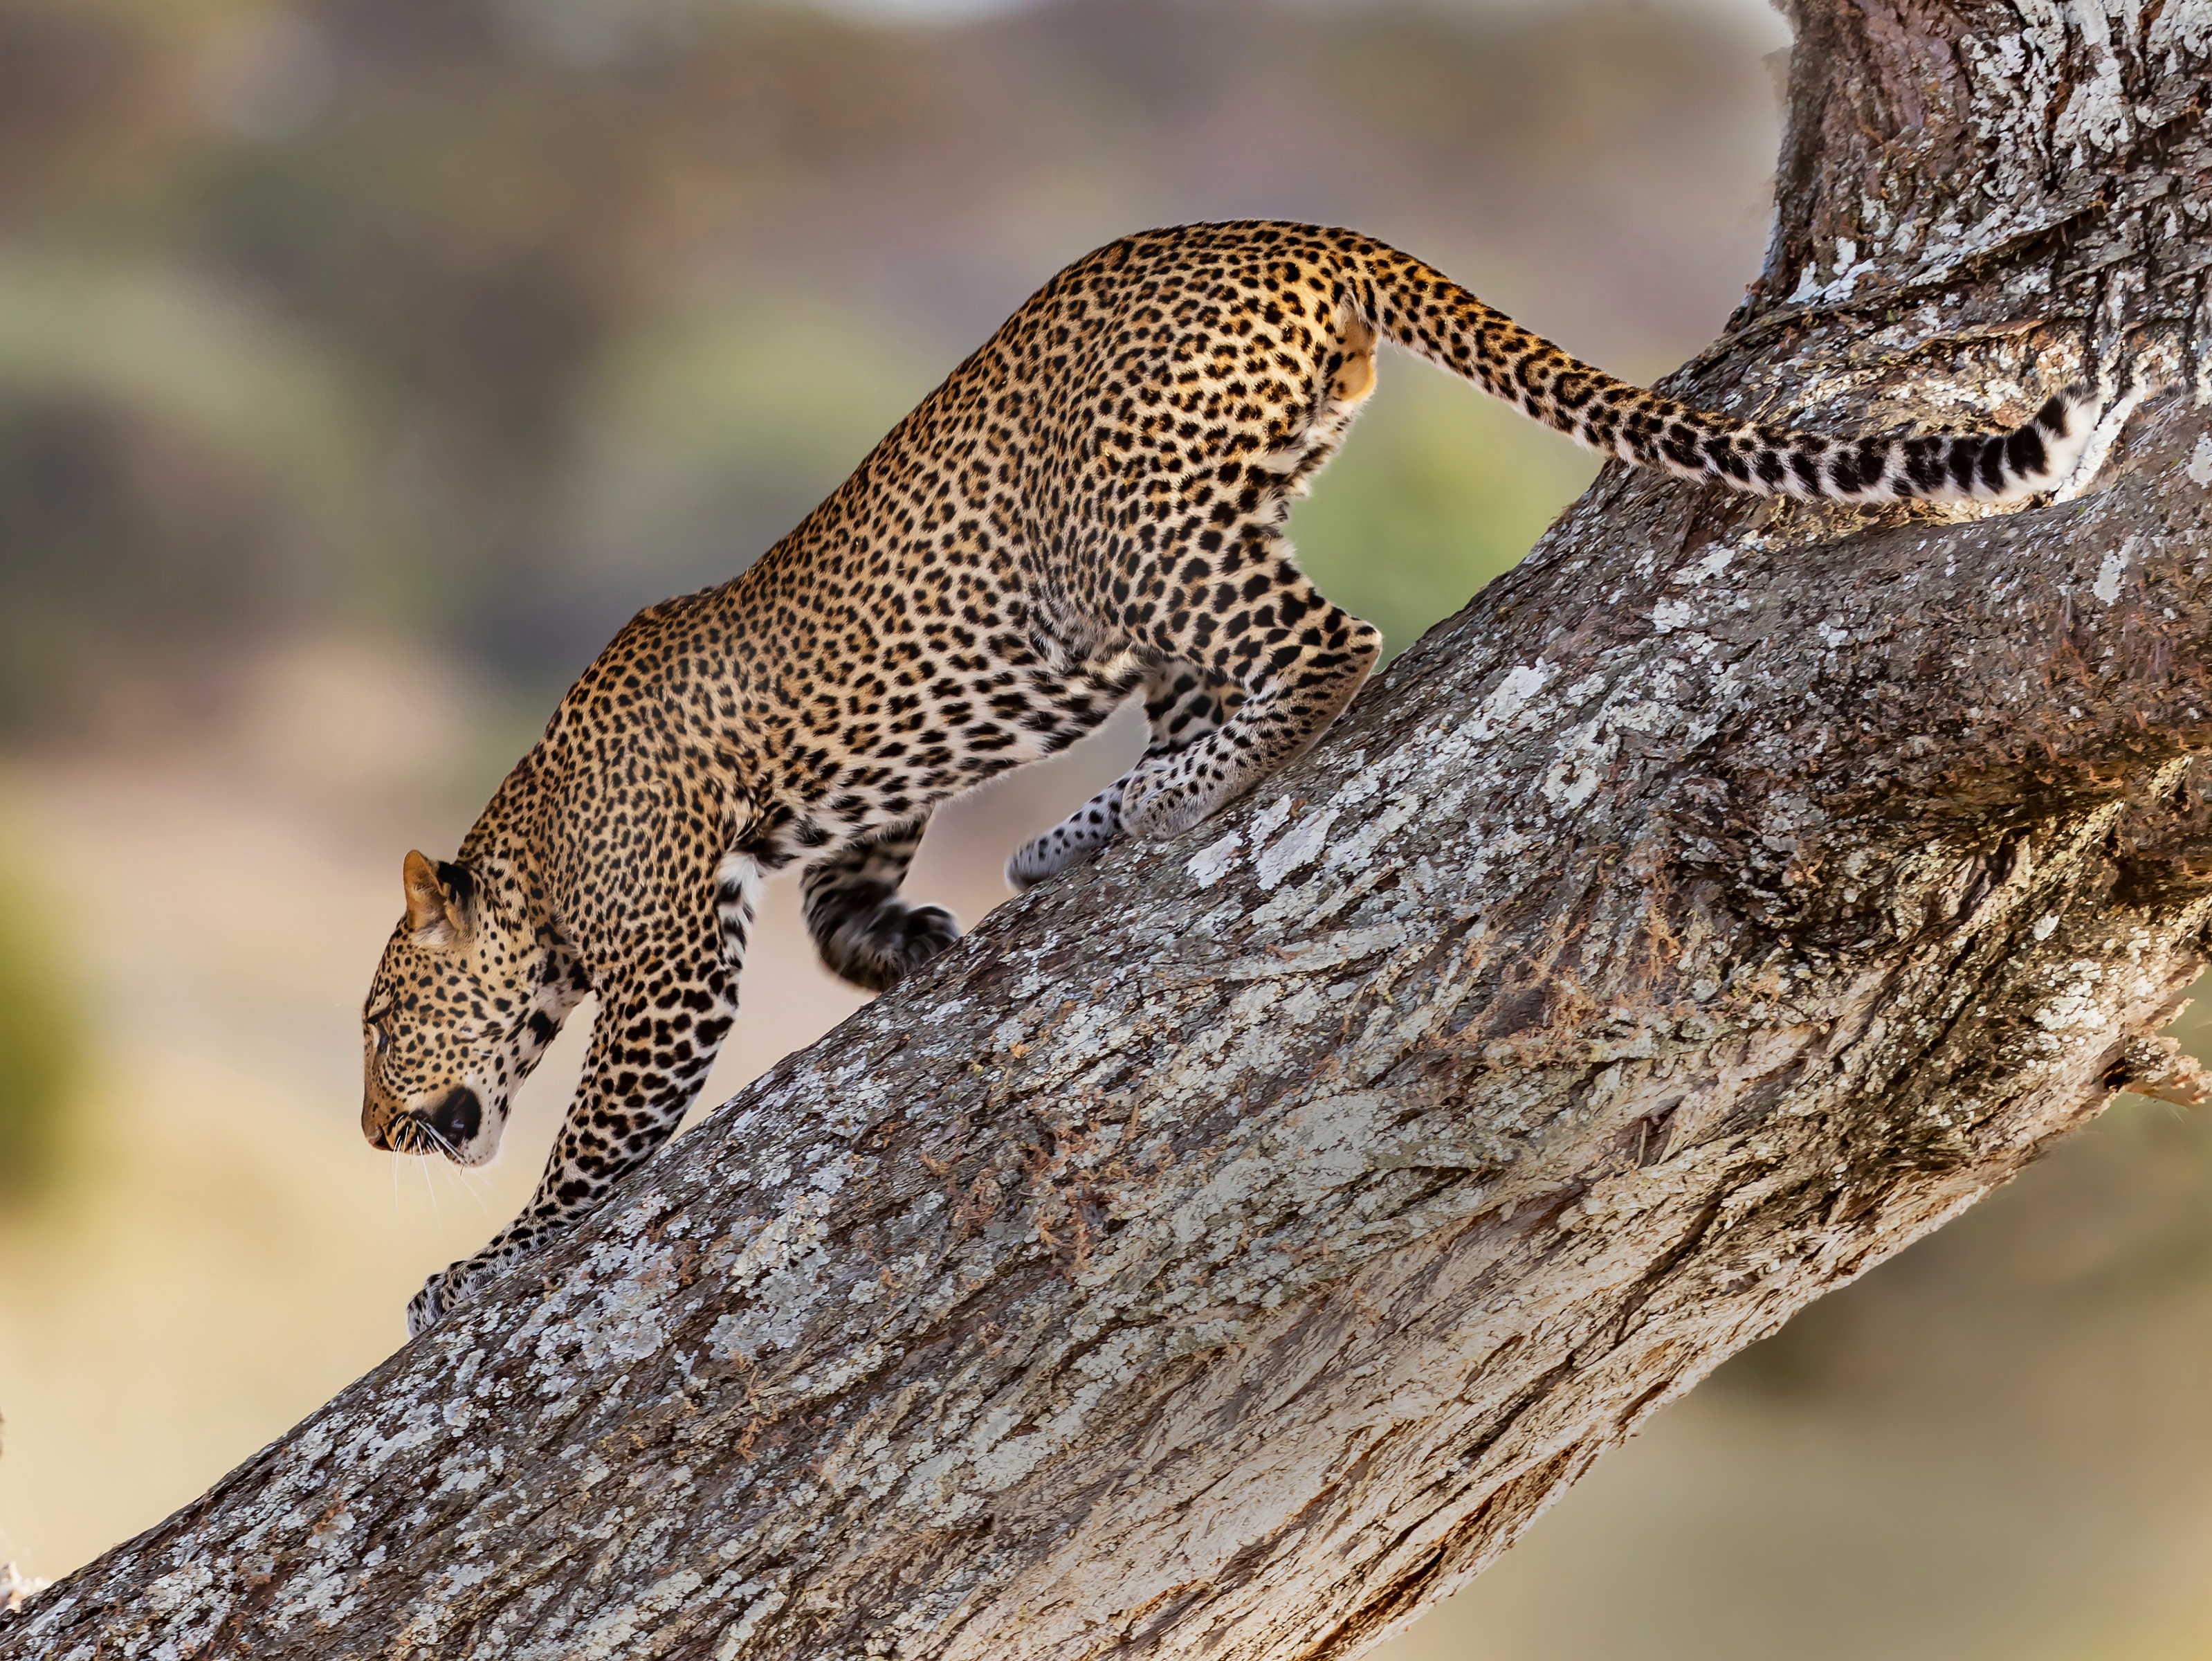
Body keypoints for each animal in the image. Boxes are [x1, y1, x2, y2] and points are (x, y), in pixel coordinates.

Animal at [360, 219, 2093, 1335]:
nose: (377, 1138)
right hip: (1190, 531)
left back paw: (1158, 800)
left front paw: (477, 1273)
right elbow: (842, 902)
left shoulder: (665, 968)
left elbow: (592, 1143)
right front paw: (909, 948)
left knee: (1326, 643)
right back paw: (1085, 831)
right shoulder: (848, 819)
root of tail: (1281, 229)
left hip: (1124, 536)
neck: (531, 840)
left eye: (378, 1024)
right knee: (1233, 671)